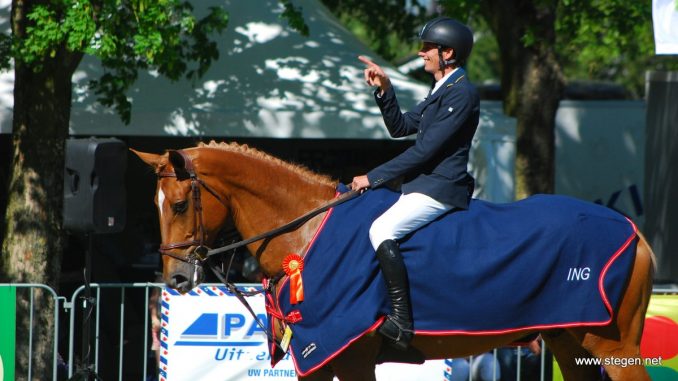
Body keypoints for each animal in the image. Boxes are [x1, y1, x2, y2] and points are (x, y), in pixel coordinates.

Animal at [130, 142, 656, 380]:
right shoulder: (319, 361)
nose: (175, 279)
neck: (306, 233)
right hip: (572, 343)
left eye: (180, 205)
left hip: (614, 347)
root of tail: (634, 232)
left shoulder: (353, 355)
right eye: (154, 207)